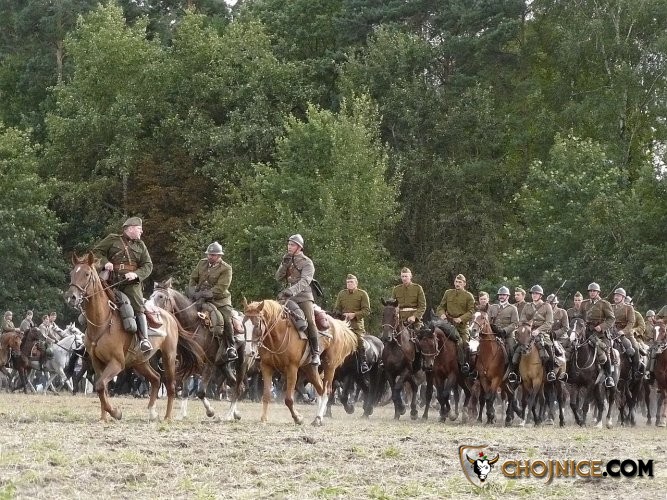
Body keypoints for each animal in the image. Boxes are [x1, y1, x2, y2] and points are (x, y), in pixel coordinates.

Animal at [64, 253, 205, 421]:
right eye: (72, 273)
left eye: (86, 274)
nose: (71, 297)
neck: (103, 322)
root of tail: (170, 316)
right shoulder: (97, 363)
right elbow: (101, 388)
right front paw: (104, 417)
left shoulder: (117, 363)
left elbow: (100, 385)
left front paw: (115, 413)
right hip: (140, 362)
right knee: (156, 379)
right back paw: (152, 412)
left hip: (168, 356)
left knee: (170, 385)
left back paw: (167, 417)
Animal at [149, 278, 250, 421]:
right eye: (151, 296)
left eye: (161, 296)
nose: (149, 310)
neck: (192, 325)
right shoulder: (188, 363)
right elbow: (186, 391)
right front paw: (181, 415)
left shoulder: (209, 364)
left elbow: (201, 392)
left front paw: (210, 411)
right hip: (223, 364)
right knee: (235, 384)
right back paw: (236, 413)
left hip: (241, 363)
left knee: (237, 387)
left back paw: (228, 415)